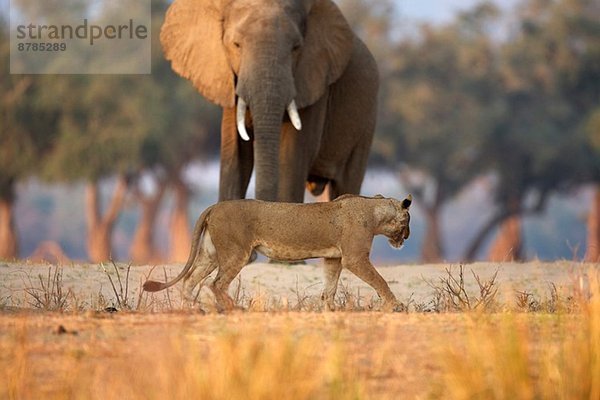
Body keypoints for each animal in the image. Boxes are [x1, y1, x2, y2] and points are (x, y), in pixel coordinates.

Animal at [162, 0, 378, 202]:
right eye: (236, 45)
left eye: (296, 48)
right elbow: (235, 163)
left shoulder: (314, 86)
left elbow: (289, 166)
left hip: (366, 123)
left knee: (346, 182)